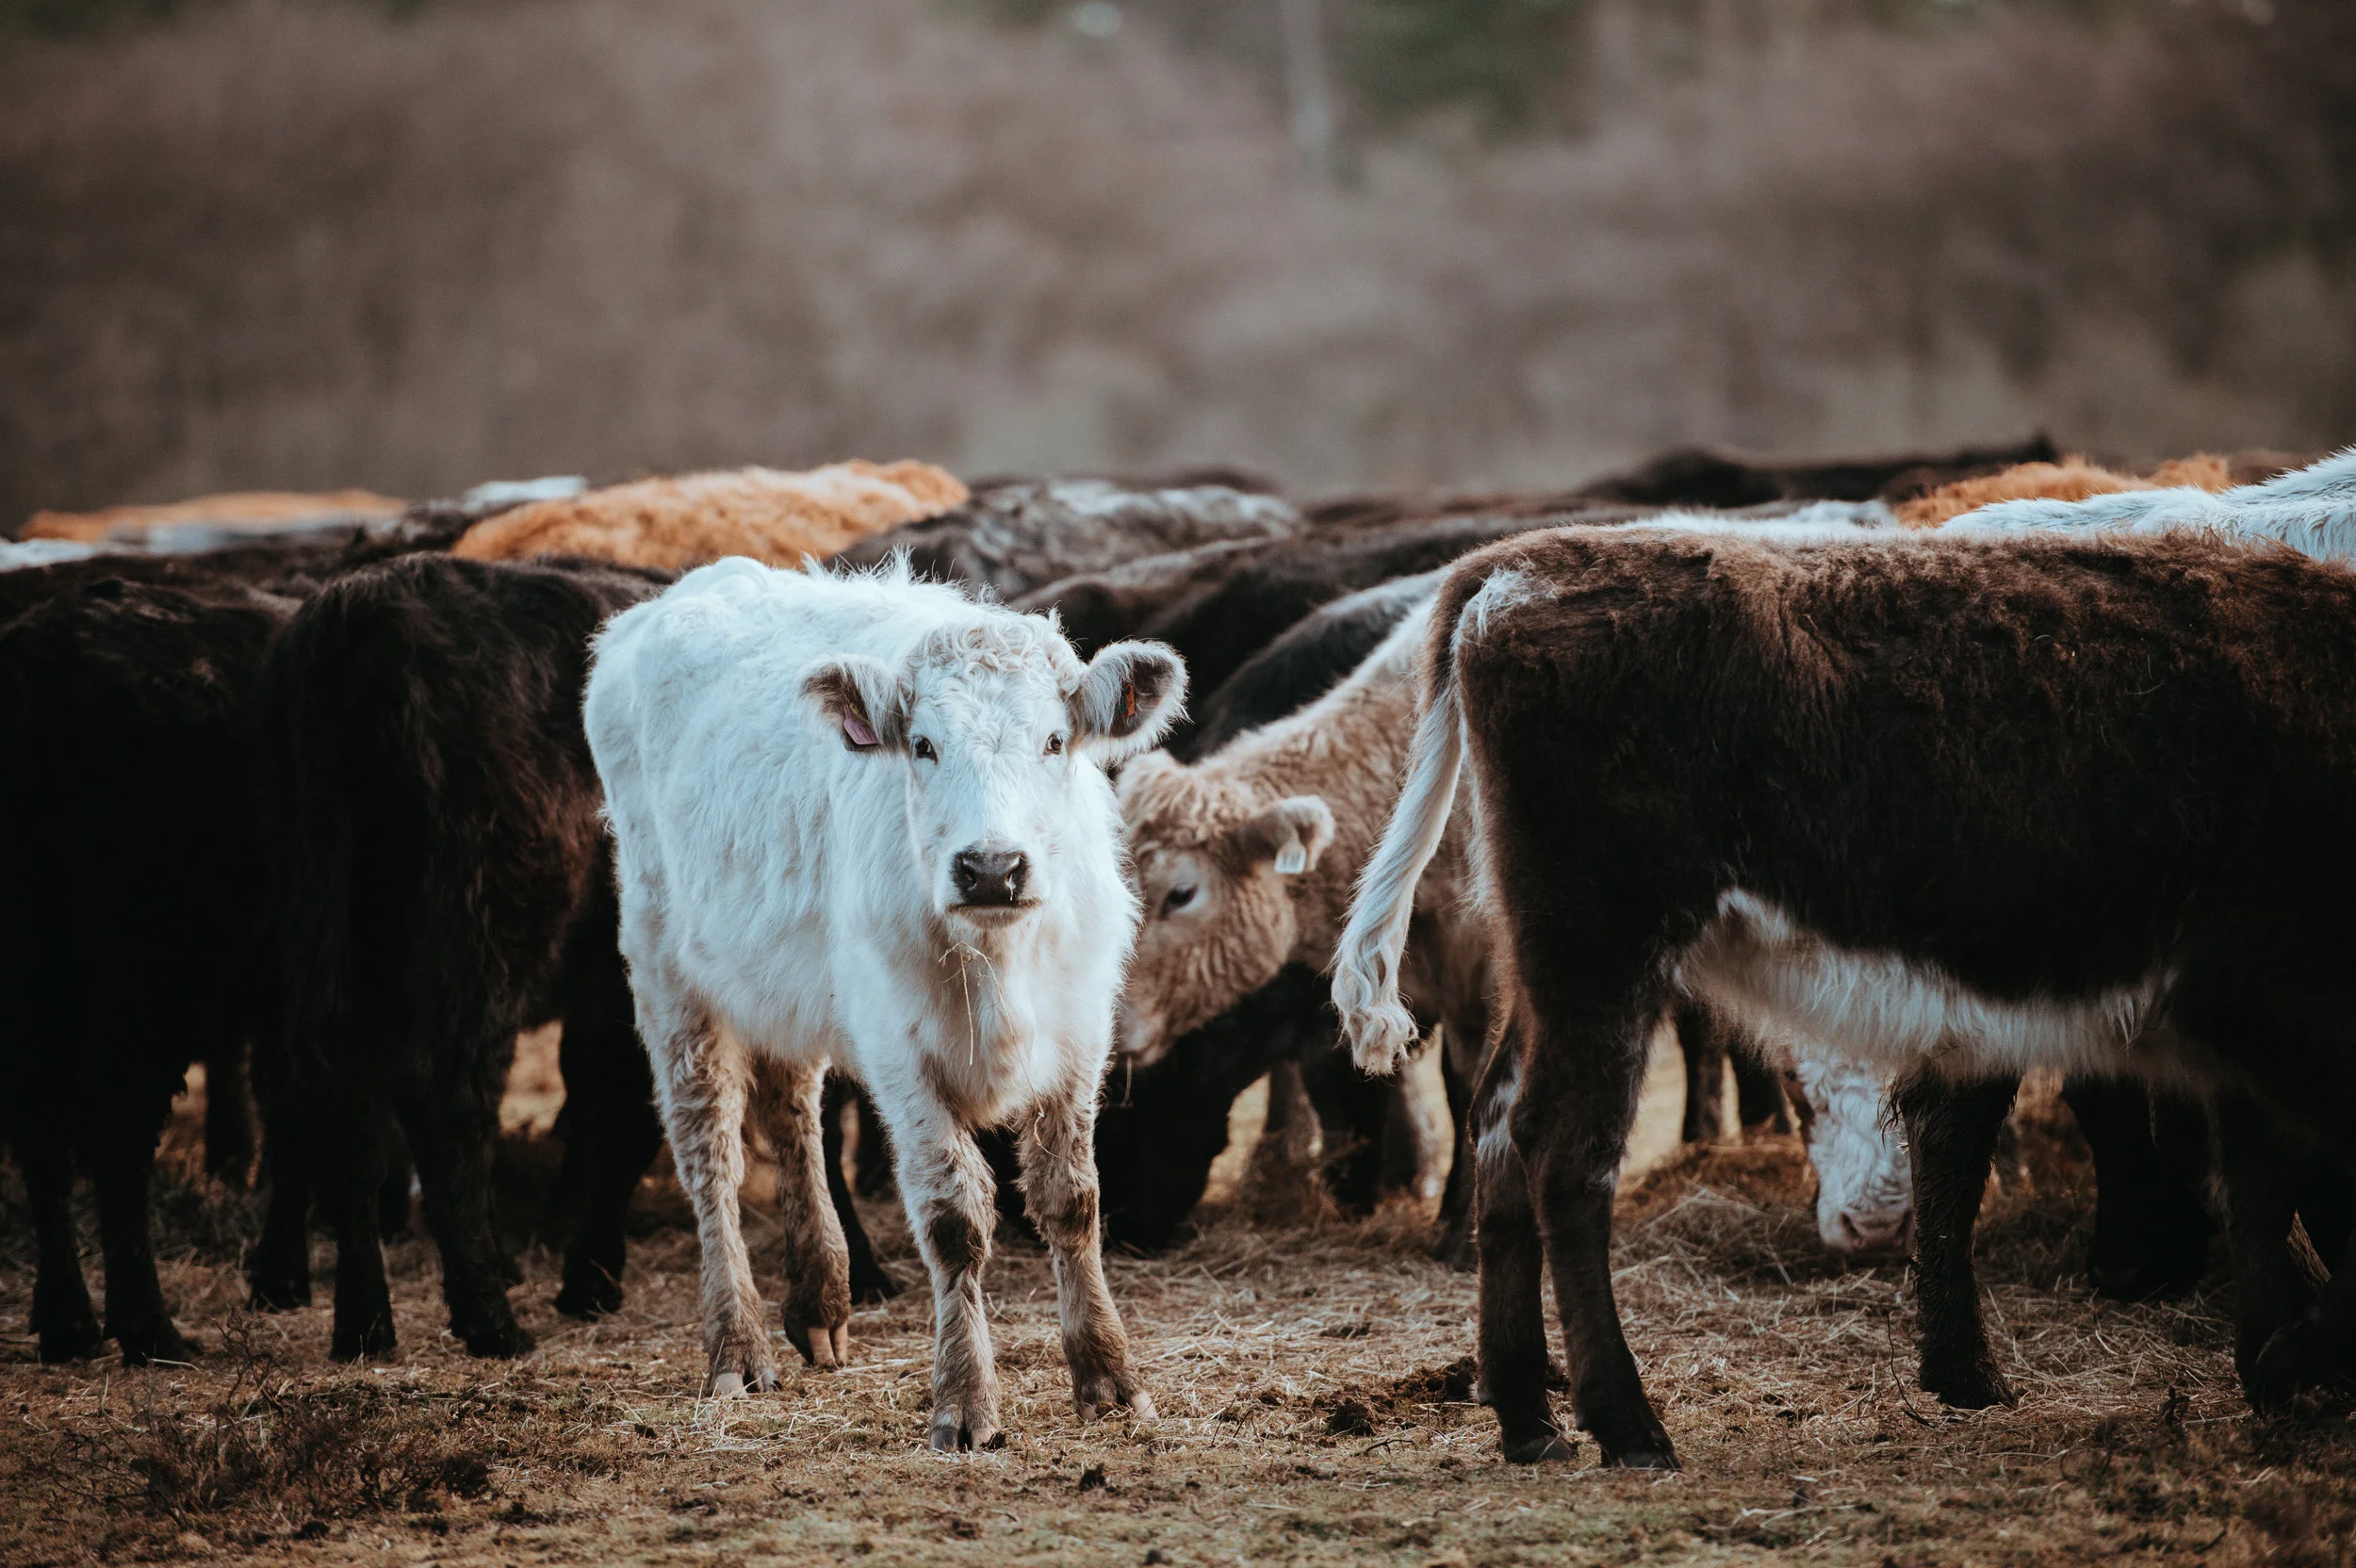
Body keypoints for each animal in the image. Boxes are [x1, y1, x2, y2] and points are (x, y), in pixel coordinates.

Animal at [584, 557, 1183, 1448]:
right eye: (924, 746)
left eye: (1054, 741)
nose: (992, 867)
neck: (996, 961)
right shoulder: (902, 1054)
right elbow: (954, 1221)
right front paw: (965, 1400)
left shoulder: (1080, 1034)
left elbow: (1072, 1201)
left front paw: (1108, 1377)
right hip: (667, 969)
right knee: (710, 1154)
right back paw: (737, 1345)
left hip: (788, 983)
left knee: (791, 1114)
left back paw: (819, 1299)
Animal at [1334, 522, 2356, 1467]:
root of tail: (1519, 564)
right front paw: (2285, 1359)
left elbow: (2262, 1181)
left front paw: (2271, 1361)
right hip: (1604, 957)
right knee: (1565, 1155)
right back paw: (1628, 1424)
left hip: (1551, 974)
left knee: (1498, 1124)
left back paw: (1526, 1415)